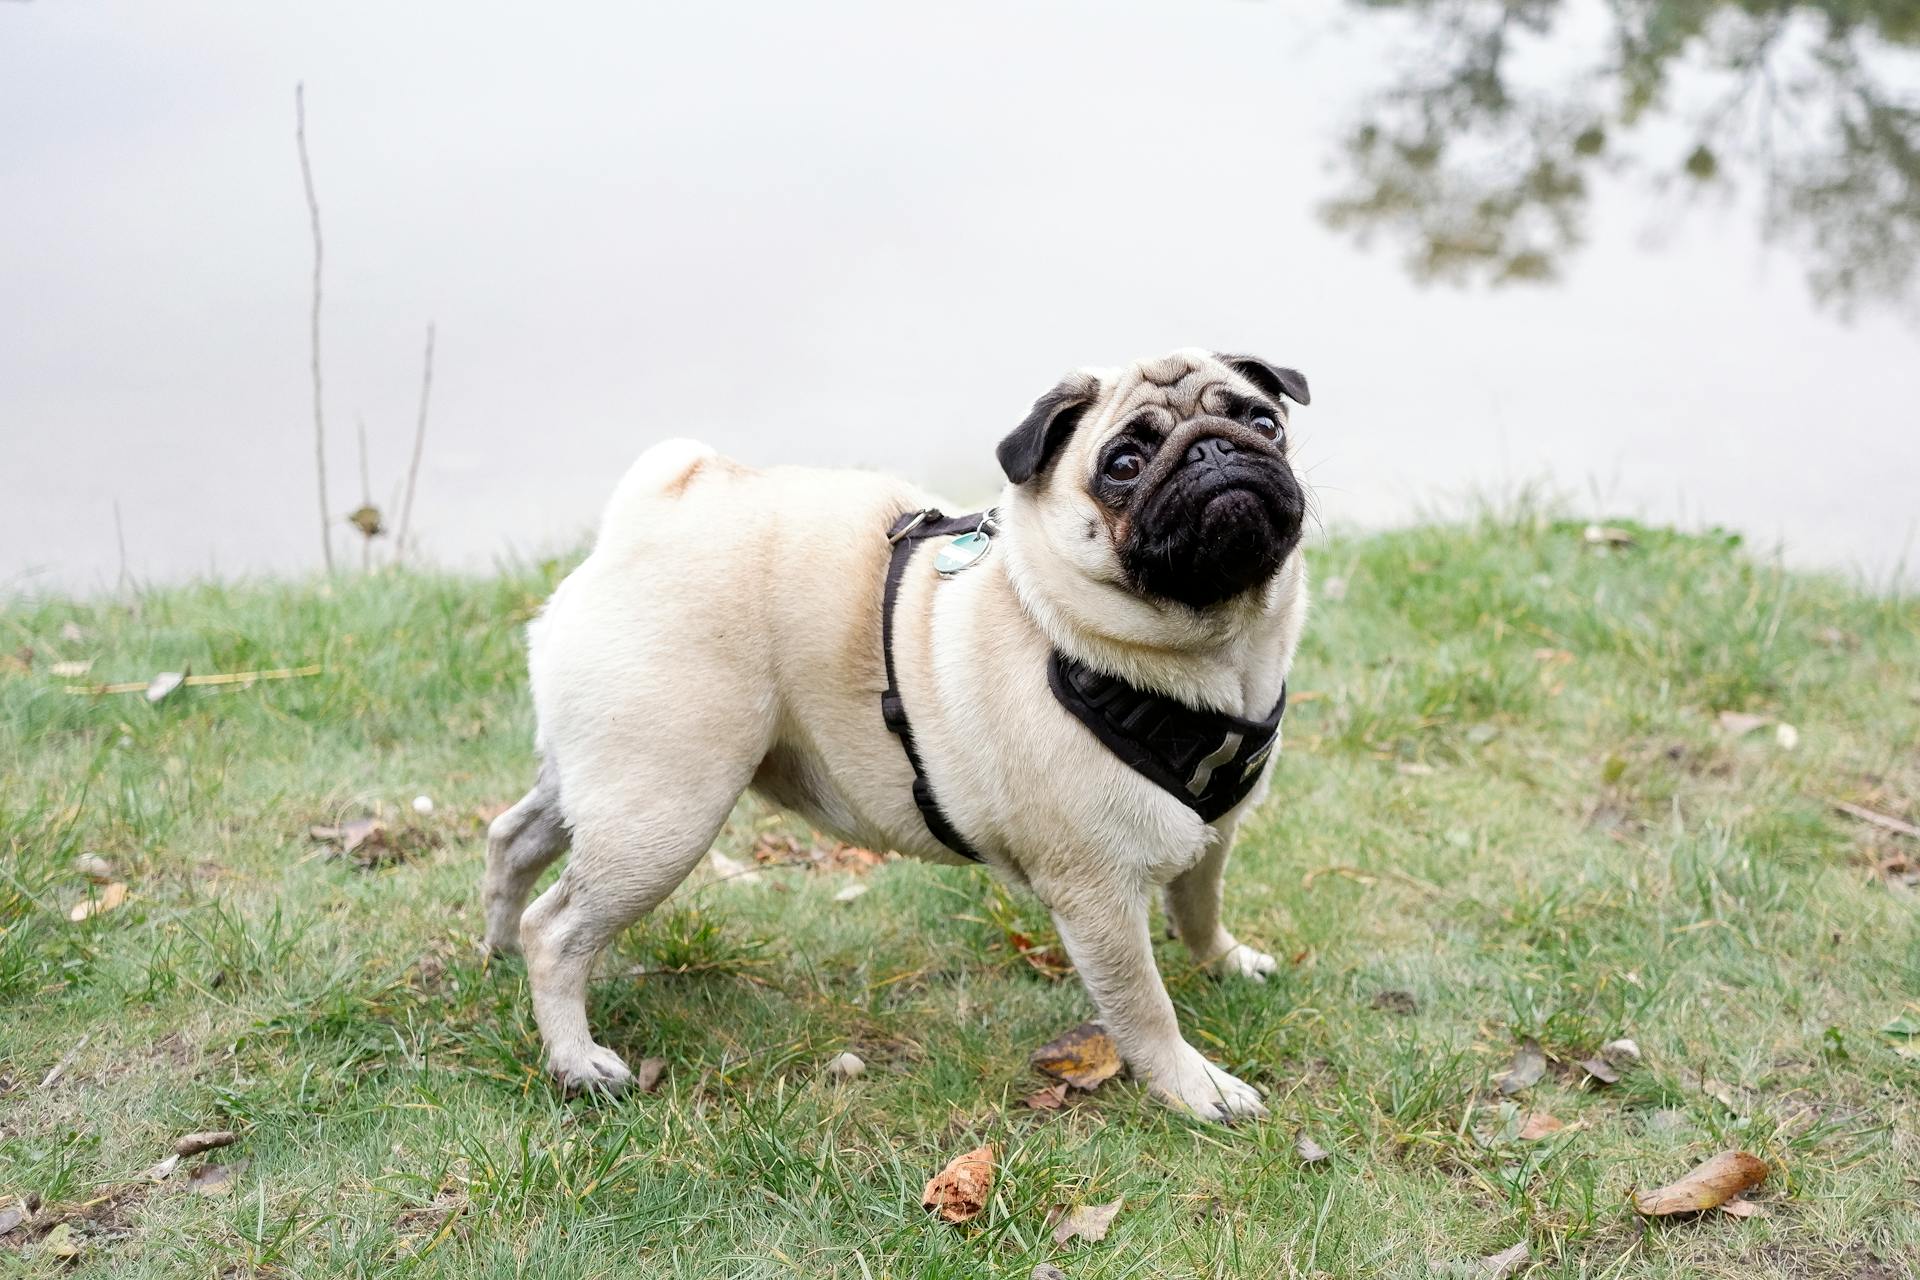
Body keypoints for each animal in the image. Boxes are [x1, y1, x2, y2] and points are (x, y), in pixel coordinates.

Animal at [487, 351, 1313, 1120]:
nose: (1215, 450)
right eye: (1124, 465)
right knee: (556, 928)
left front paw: (1226, 962)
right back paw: (575, 1058)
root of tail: (654, 509)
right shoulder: (1097, 892)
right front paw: (1193, 1086)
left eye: (1263, 422)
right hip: (663, 813)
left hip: (603, 782)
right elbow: (1144, 1005)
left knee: (513, 840)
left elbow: (1199, 907)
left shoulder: (1214, 834)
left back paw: (496, 953)